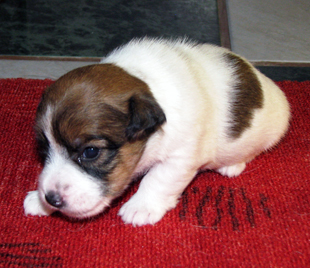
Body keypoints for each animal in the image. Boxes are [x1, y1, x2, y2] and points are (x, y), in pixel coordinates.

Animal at [22, 38, 290, 226]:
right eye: (44, 147)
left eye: (90, 152)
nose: (51, 199)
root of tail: (263, 78)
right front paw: (39, 201)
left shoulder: (181, 157)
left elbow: (158, 179)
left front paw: (141, 207)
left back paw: (231, 165)